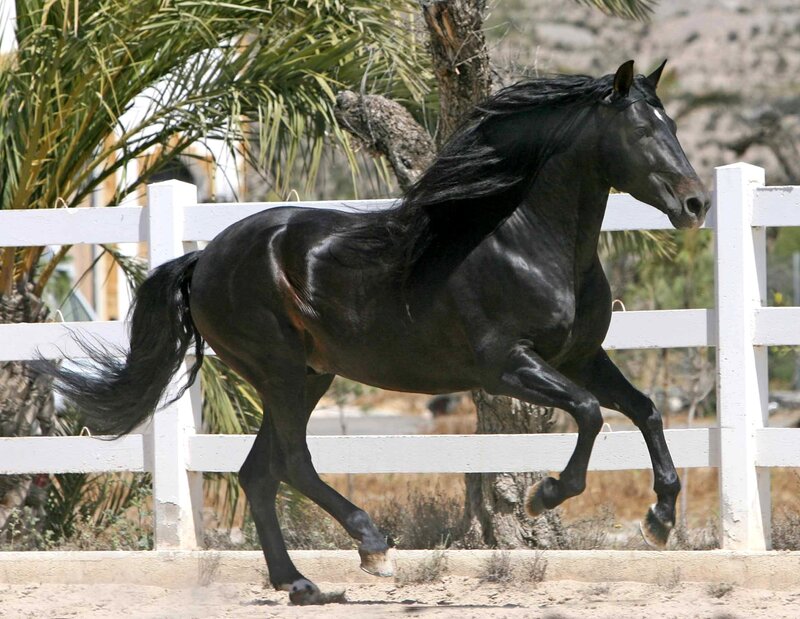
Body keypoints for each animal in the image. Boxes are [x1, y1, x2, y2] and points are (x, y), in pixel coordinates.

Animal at [46, 60, 709, 604]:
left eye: (673, 123)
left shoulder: (581, 357)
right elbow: (592, 413)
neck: (524, 244)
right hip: (279, 371)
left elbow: (645, 410)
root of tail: (203, 259)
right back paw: (373, 548)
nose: (696, 204)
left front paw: (659, 520)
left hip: (308, 375)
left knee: (260, 471)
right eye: (642, 131)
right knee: (292, 462)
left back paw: (300, 584)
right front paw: (543, 495)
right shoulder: (506, 365)